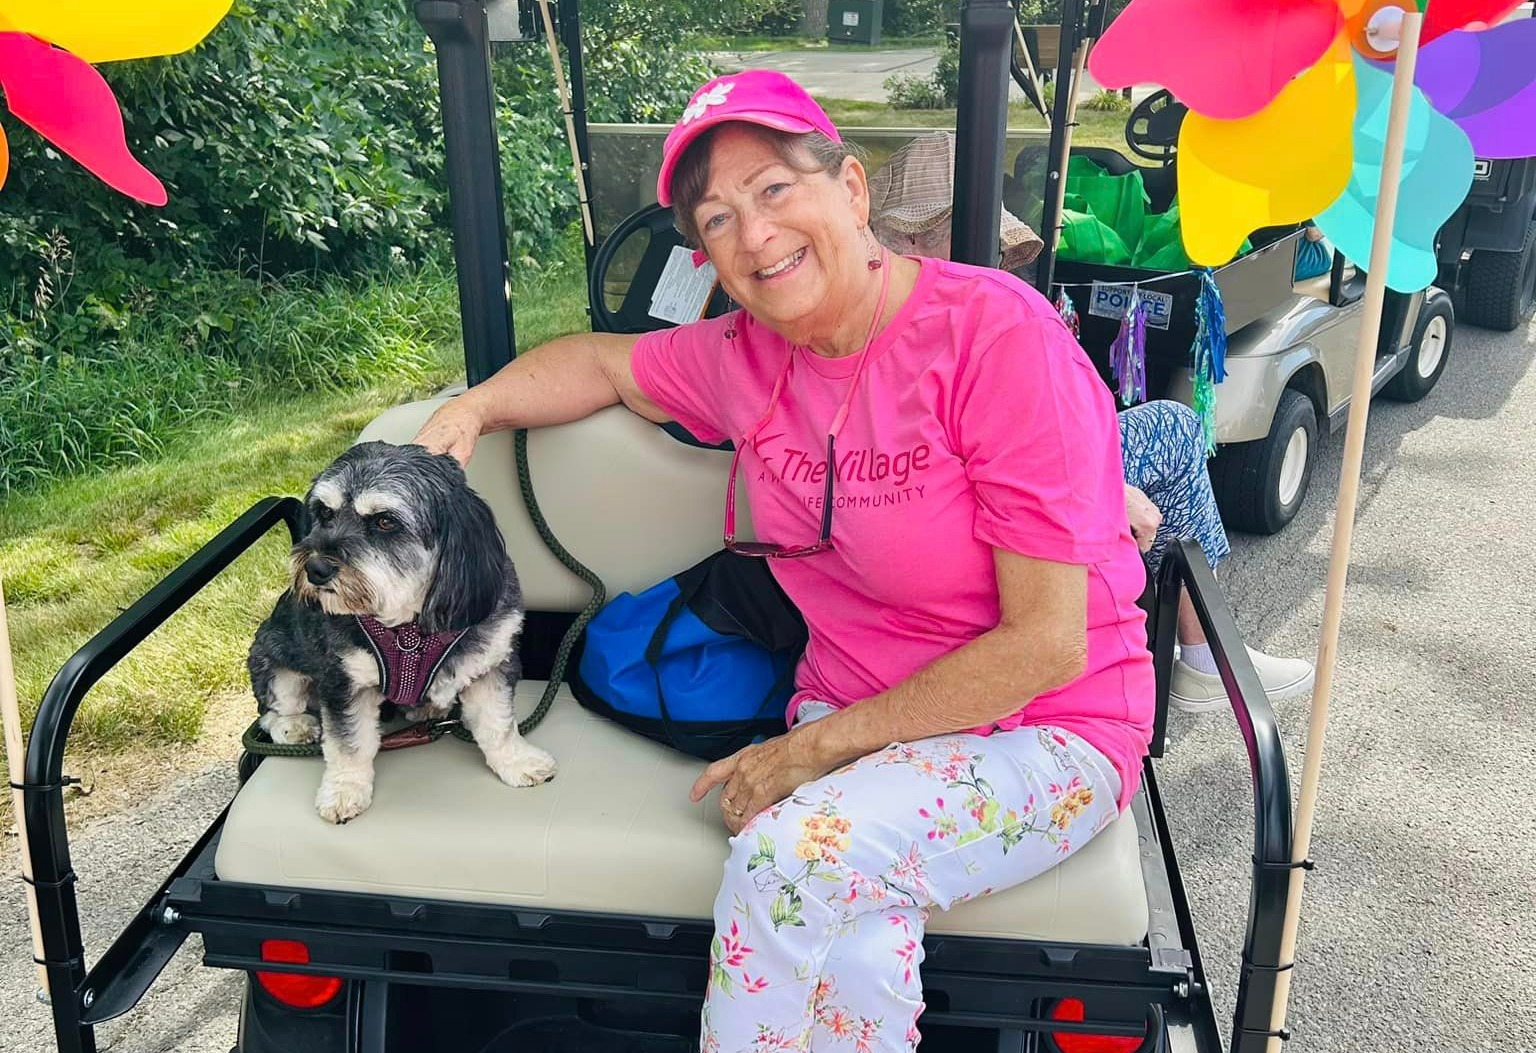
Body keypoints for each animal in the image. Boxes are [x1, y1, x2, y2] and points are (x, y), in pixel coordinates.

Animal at [239, 442, 552, 828]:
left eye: (385, 521)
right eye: (324, 513)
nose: (315, 568)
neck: (408, 625)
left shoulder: (491, 664)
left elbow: (498, 724)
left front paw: (516, 761)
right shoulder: (341, 681)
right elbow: (349, 744)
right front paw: (344, 790)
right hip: (274, 662)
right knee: (270, 713)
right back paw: (295, 727)